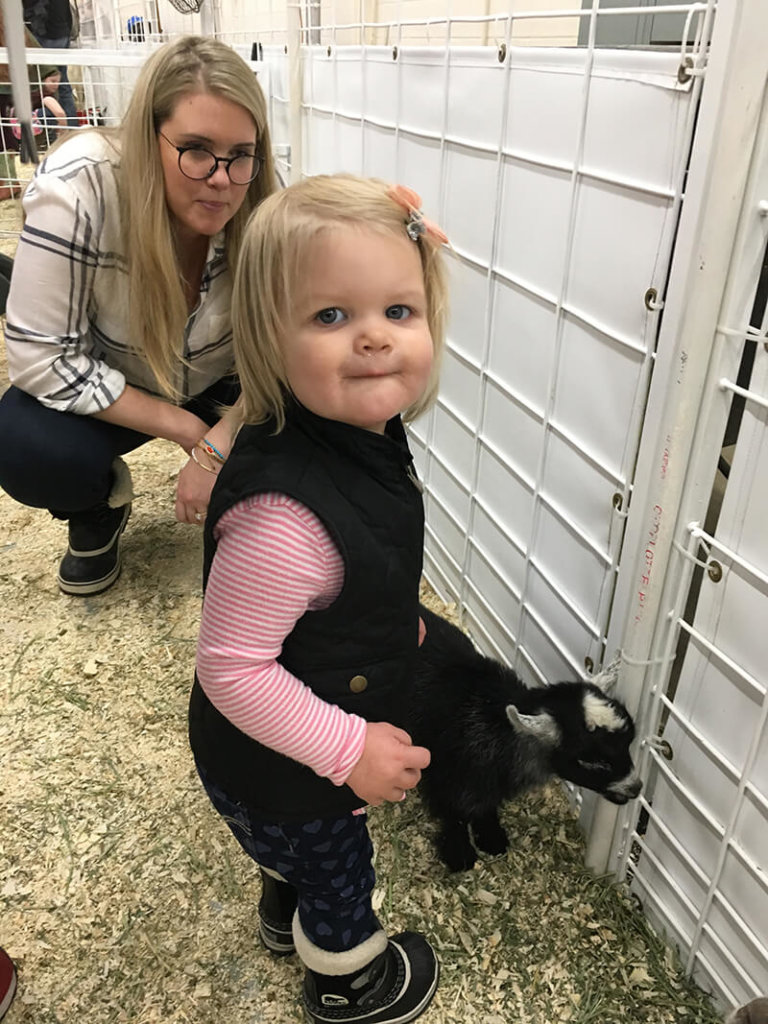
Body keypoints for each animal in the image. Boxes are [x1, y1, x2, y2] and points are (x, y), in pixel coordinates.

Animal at [409, 606, 643, 872]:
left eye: (628, 741)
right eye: (591, 760)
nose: (635, 787)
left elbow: (484, 807)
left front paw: (492, 837)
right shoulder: (441, 774)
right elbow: (452, 815)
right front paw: (459, 854)